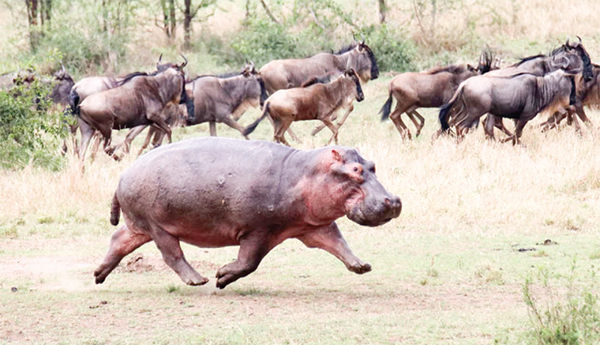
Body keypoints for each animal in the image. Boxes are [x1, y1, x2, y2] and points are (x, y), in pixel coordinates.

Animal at [94, 136, 400, 288]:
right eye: (356, 170)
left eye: (372, 165)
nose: (394, 201)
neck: (305, 173)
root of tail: (123, 175)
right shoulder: (259, 230)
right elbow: (249, 262)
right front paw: (221, 277)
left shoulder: (314, 225)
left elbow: (338, 243)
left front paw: (361, 266)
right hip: (158, 226)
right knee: (172, 255)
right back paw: (198, 280)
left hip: (139, 225)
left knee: (118, 240)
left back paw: (98, 274)